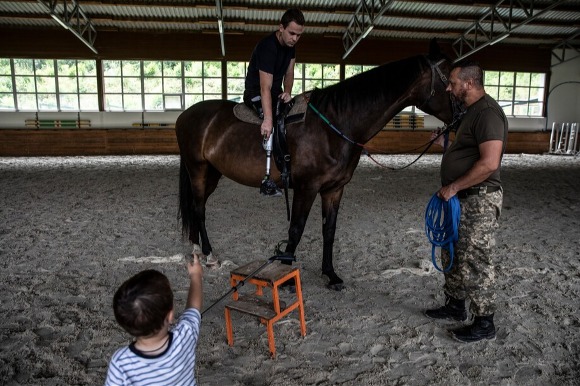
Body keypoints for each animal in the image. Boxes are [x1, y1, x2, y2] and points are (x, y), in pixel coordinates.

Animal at [174, 40, 456, 292]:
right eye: (449, 80)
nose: (462, 111)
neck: (335, 124)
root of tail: (185, 115)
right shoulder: (306, 188)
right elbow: (296, 230)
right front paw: (287, 275)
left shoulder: (334, 189)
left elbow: (328, 230)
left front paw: (330, 274)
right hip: (197, 170)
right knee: (199, 209)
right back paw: (209, 255)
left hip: (212, 174)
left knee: (198, 208)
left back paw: (197, 250)